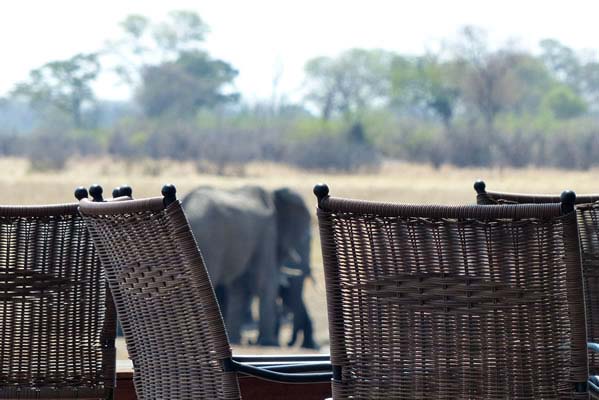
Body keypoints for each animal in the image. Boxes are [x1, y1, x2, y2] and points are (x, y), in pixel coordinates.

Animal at [182, 186, 314, 346]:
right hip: (208, 242)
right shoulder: (267, 233)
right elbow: (264, 282)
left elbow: (239, 288)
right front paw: (269, 343)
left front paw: (236, 340)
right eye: (304, 239)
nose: (287, 343)